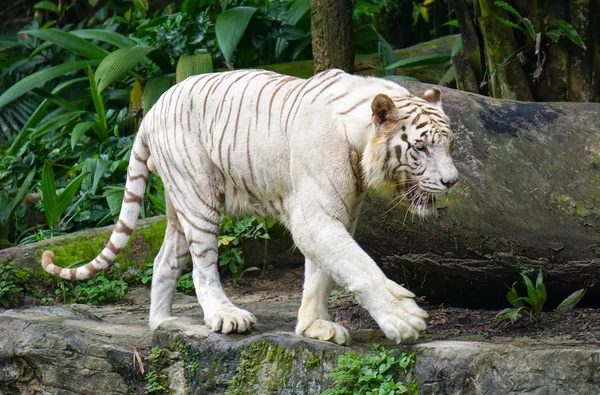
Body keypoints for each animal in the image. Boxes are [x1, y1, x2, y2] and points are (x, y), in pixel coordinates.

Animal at [42, 69, 458, 344]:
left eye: (450, 145)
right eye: (421, 148)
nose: (452, 181)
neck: (358, 143)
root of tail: (151, 111)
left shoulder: (338, 213)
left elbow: (323, 272)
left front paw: (313, 327)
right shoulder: (317, 216)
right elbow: (358, 265)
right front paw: (404, 318)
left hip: (177, 203)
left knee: (165, 261)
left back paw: (165, 324)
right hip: (198, 195)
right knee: (202, 268)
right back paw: (225, 316)